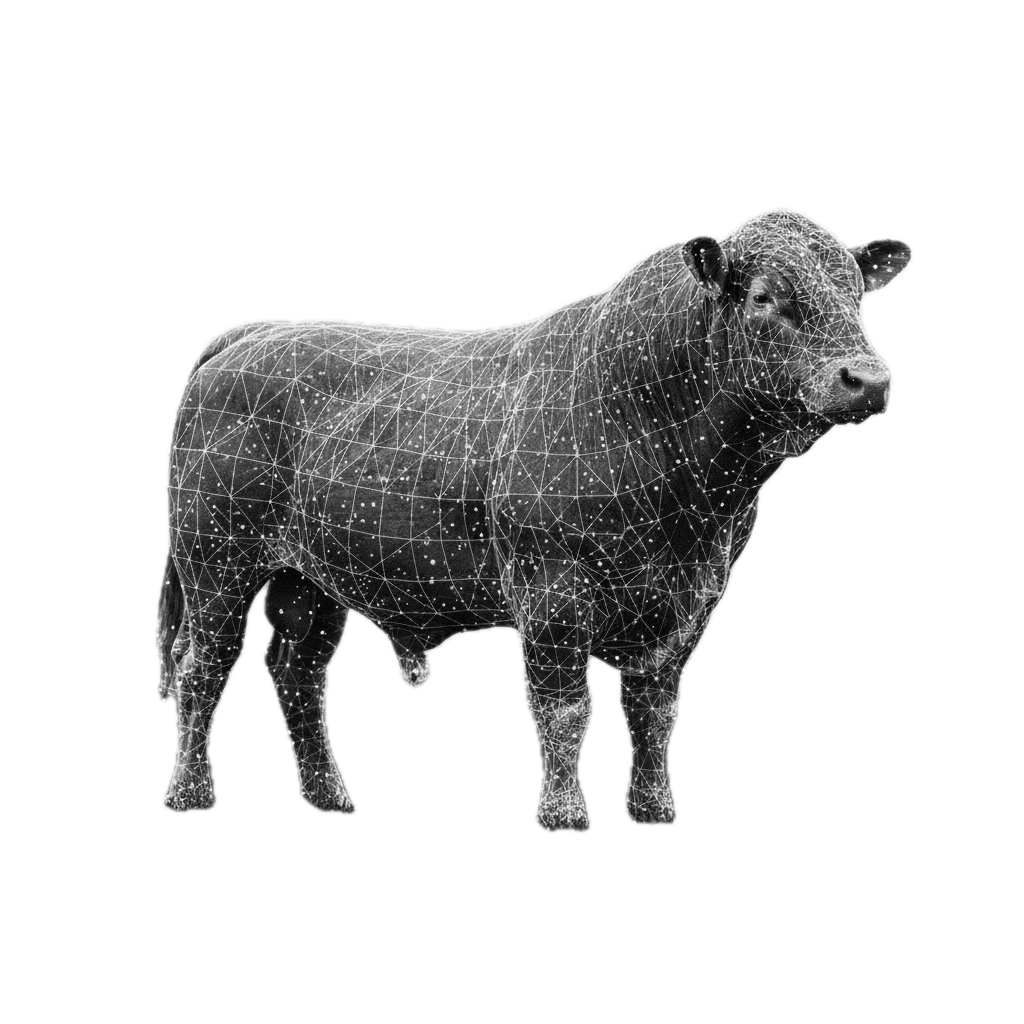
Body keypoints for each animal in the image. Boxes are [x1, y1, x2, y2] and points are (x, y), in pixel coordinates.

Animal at [155, 207, 913, 831]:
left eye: (857, 295)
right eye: (764, 298)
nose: (868, 379)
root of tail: (255, 332)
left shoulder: (691, 601)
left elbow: (654, 713)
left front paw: (654, 812)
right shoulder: (553, 593)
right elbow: (564, 711)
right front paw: (564, 816)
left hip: (308, 581)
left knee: (298, 671)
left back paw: (329, 797)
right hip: (216, 562)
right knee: (204, 666)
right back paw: (191, 795)